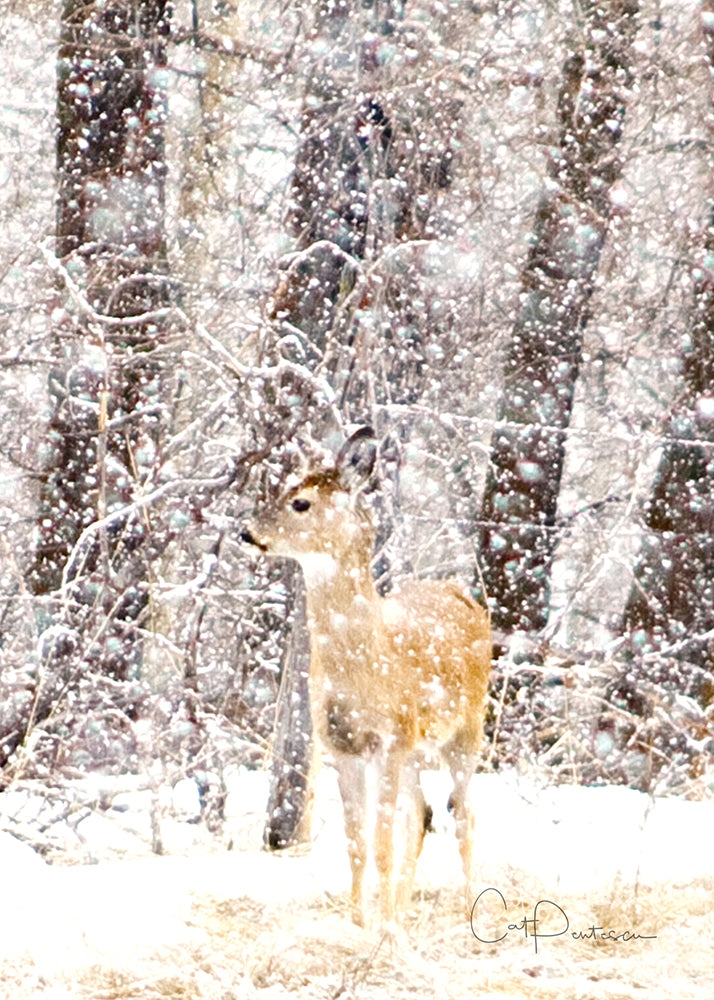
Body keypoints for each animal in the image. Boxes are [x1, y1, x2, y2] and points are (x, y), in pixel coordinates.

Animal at [239, 426, 490, 924]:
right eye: (281, 487)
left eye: (301, 502)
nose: (247, 532)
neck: (363, 666)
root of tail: (463, 595)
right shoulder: (342, 746)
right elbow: (357, 843)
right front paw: (361, 921)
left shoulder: (388, 739)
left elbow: (380, 844)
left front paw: (379, 927)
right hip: (417, 748)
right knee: (423, 813)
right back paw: (403, 910)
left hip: (466, 730)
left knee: (464, 814)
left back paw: (471, 909)